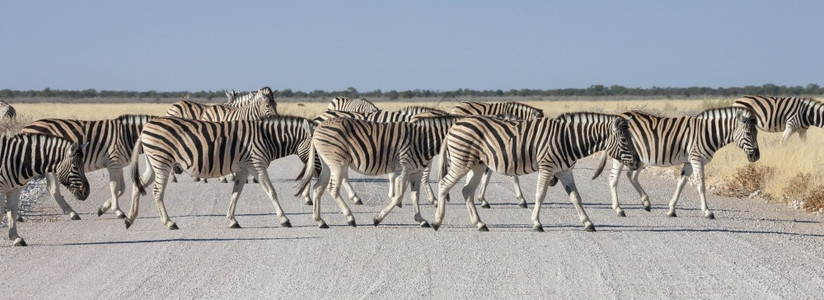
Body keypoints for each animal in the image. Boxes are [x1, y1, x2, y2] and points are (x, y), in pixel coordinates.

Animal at [21, 113, 154, 219]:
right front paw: (118, 211)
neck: (127, 135)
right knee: (51, 188)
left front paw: (103, 208)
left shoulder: (118, 164)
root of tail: (25, 128)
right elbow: (115, 188)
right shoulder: (114, 162)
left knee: (50, 188)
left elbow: (121, 189)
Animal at [124, 115, 314, 230]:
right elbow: (271, 191)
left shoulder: (243, 170)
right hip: (162, 161)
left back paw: (129, 218)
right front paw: (284, 219)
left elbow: (235, 194)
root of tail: (145, 127)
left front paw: (232, 220)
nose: (316, 170)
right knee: (156, 191)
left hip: (154, 163)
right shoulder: (257, 165)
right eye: (315, 150)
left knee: (138, 184)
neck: (268, 138)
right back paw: (169, 222)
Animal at [296, 113, 460, 229]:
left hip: (327, 164)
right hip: (338, 163)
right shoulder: (404, 168)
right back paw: (350, 218)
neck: (424, 140)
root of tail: (317, 128)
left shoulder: (417, 172)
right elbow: (398, 196)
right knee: (332, 189)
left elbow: (415, 195)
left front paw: (421, 219)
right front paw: (377, 218)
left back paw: (320, 221)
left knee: (318, 188)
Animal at [434, 112, 640, 232]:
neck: (569, 139)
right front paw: (536, 223)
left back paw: (479, 224)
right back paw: (437, 221)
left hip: (476, 164)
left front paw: (588, 223)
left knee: (466, 190)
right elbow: (540, 195)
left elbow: (576, 197)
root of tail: (456, 125)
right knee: (444, 184)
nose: (638, 162)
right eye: (624, 140)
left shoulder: (565, 171)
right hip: (462, 161)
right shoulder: (546, 166)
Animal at [596, 107, 764, 218]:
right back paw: (618, 209)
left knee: (631, 176)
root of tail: (619, 115)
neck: (708, 133)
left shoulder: (689, 162)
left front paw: (671, 210)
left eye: (757, 132)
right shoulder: (697, 159)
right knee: (613, 179)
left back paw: (646, 202)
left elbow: (681, 183)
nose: (756, 156)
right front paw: (707, 212)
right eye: (748, 133)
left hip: (639, 158)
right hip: (621, 156)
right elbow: (701, 186)